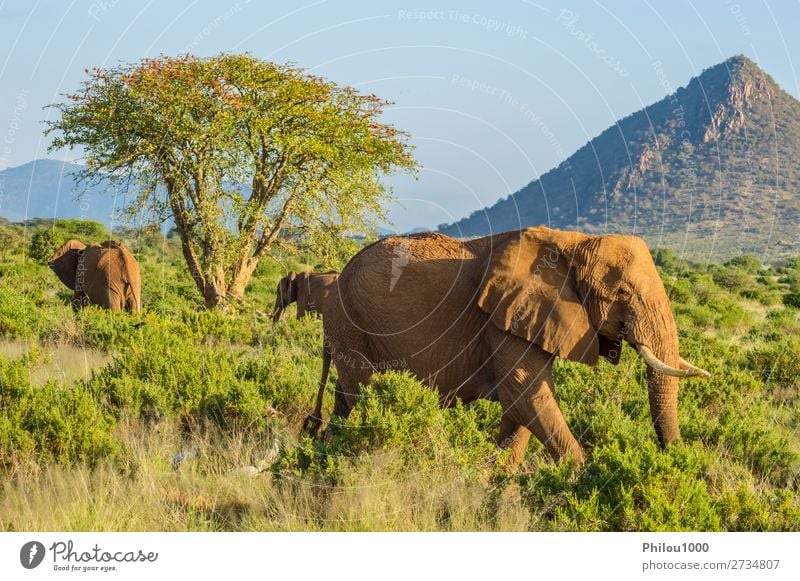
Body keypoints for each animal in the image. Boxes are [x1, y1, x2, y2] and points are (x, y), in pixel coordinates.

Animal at [306, 227, 708, 466]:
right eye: (622, 293)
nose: (674, 458)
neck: (573, 242)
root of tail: (338, 277)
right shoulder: (505, 318)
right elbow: (526, 393)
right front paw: (584, 477)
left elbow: (522, 406)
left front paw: (499, 484)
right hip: (351, 325)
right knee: (358, 396)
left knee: (344, 400)